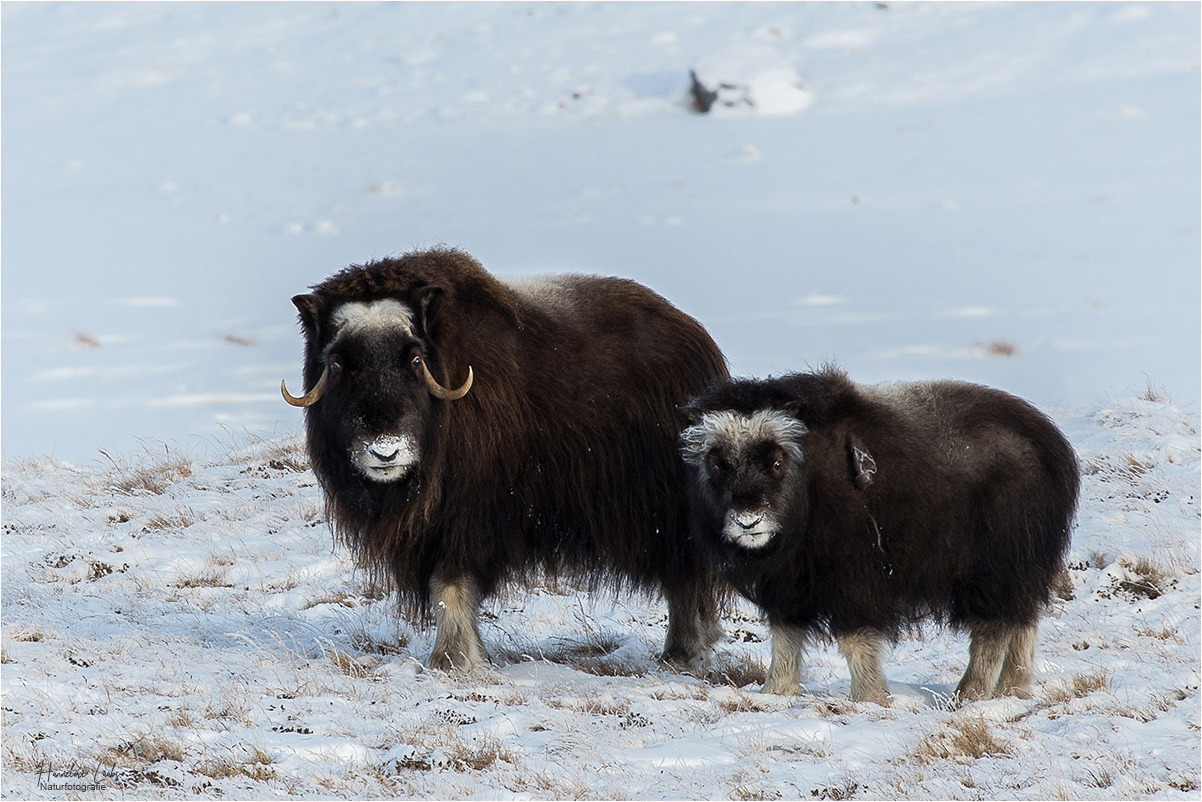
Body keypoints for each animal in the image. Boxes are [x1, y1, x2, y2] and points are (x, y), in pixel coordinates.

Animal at [284, 248, 726, 673]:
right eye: (337, 364)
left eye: (414, 359)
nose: (385, 450)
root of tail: (698, 340)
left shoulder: (466, 518)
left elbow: (450, 585)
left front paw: (452, 661)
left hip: (668, 512)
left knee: (684, 576)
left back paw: (681, 654)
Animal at [682, 367, 1086, 707]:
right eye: (716, 464)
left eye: (777, 462)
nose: (747, 521)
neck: (809, 484)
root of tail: (1049, 440)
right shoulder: (788, 585)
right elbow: (785, 636)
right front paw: (775, 693)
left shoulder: (854, 577)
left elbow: (855, 638)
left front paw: (870, 698)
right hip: (1024, 569)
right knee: (1023, 621)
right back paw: (1012, 690)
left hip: (996, 568)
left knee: (993, 629)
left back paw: (968, 694)